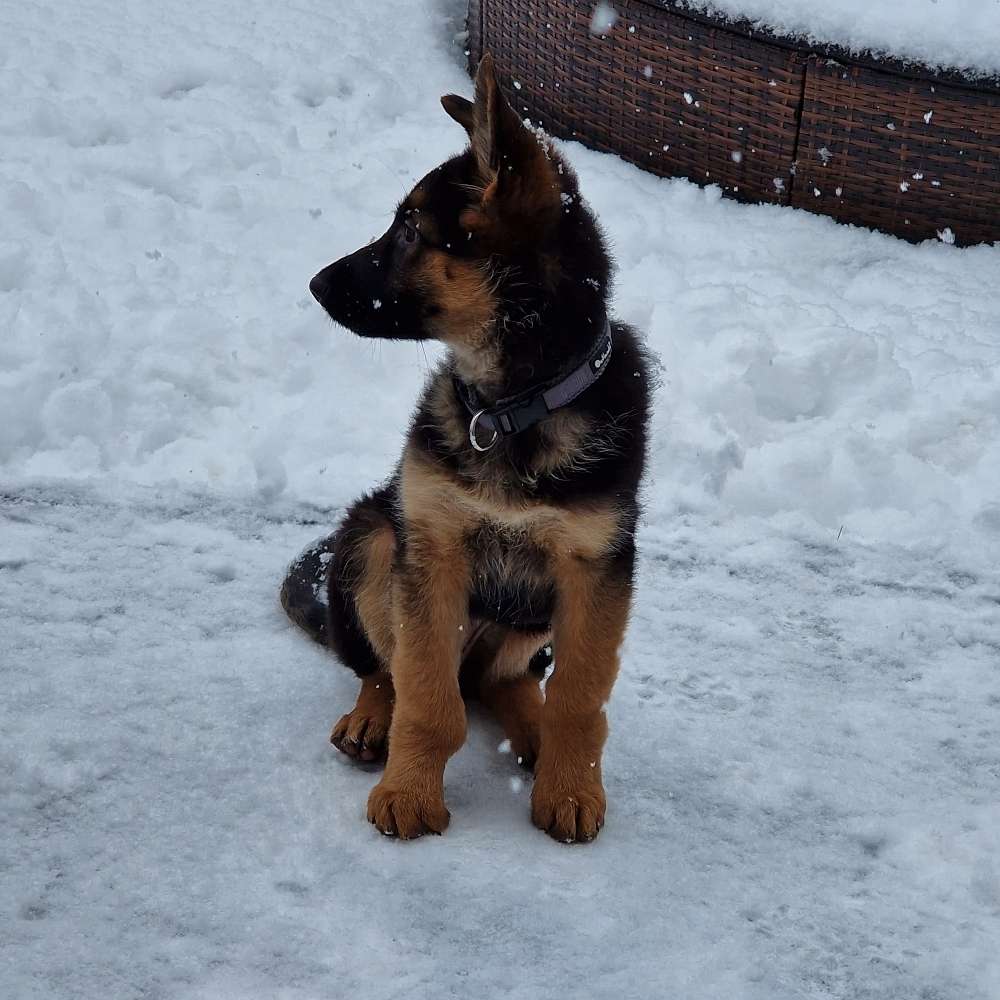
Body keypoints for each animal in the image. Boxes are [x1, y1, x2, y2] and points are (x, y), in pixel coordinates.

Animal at [284, 50, 656, 840]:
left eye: (408, 232)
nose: (315, 283)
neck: (510, 407)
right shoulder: (431, 546)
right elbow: (427, 695)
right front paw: (410, 791)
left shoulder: (597, 566)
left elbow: (580, 696)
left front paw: (570, 786)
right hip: (373, 537)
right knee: (388, 669)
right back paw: (371, 722)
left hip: (532, 614)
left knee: (500, 679)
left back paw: (531, 727)